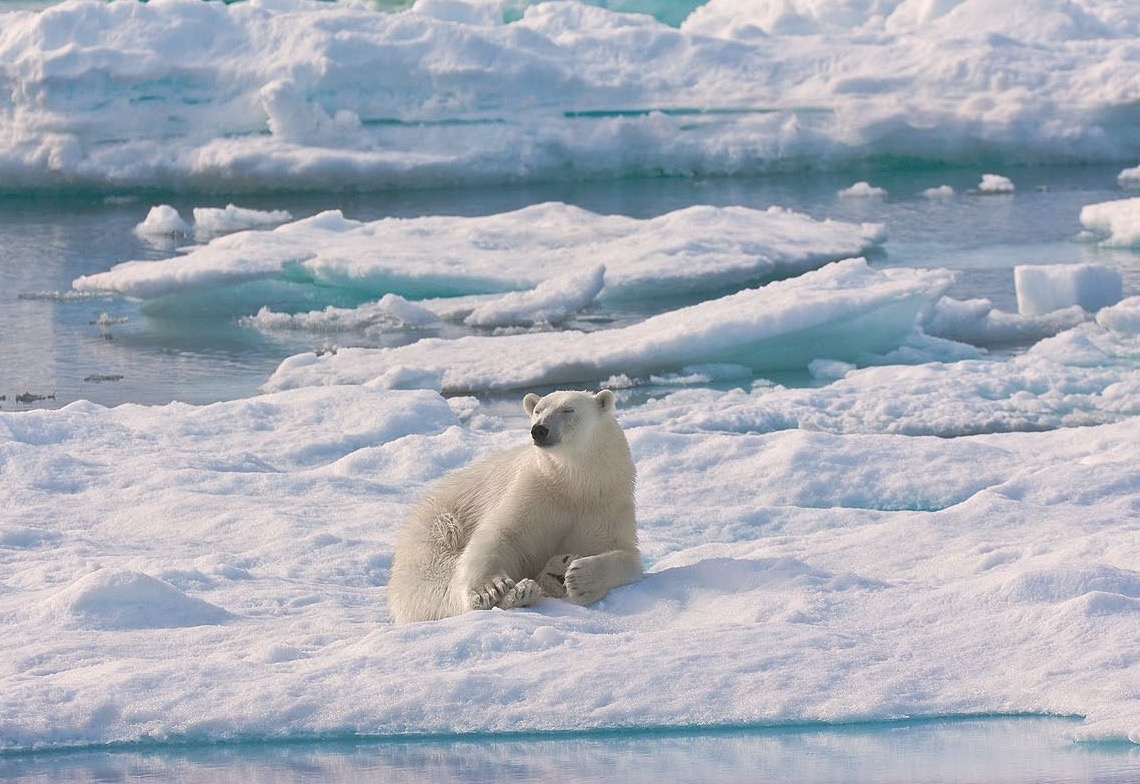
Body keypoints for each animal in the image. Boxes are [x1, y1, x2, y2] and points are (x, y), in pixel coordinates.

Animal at [388, 389, 641, 624]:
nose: (539, 429)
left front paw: (580, 578)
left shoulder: (607, 503)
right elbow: (500, 532)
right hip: (437, 532)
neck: (574, 485)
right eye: (538, 410)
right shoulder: (532, 489)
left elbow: (626, 555)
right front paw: (490, 589)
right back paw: (521, 592)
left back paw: (554, 571)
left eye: (568, 410)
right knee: (435, 583)